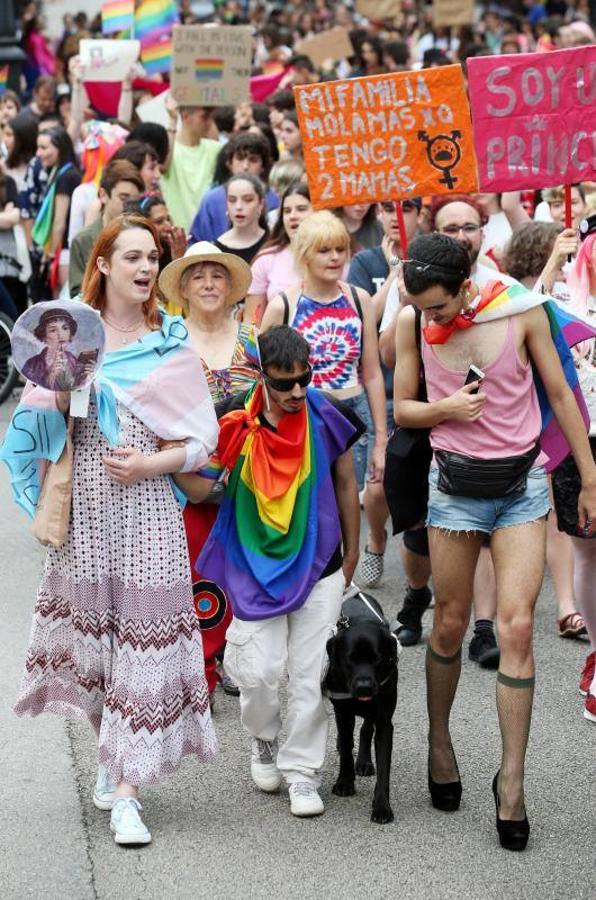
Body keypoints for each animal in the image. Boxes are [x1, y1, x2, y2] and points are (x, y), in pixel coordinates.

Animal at [324, 592, 398, 824]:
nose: (364, 686)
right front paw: (345, 783)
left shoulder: (384, 721)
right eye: (350, 659)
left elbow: (384, 767)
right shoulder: (343, 712)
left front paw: (382, 807)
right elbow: (347, 747)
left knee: (366, 728)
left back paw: (364, 762)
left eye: (377, 658)